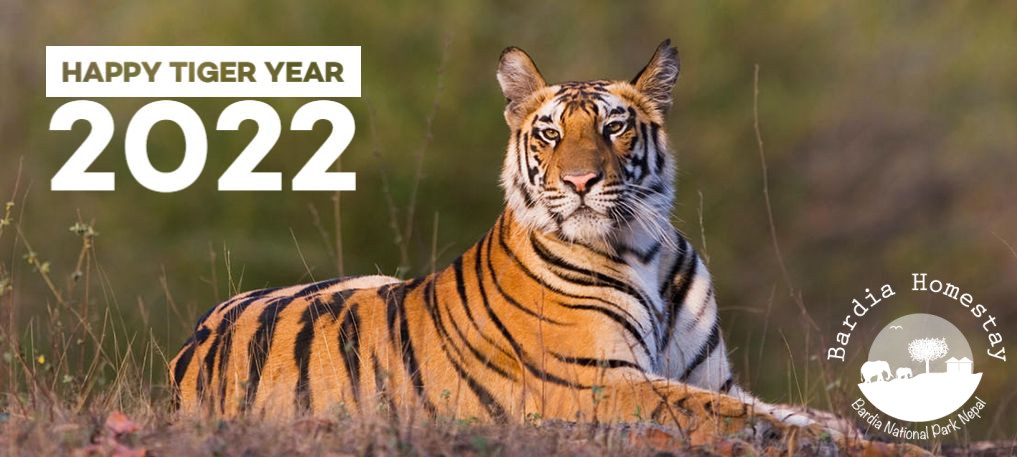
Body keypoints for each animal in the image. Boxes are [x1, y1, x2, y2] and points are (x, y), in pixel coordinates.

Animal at [168, 40, 926, 454]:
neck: (643, 249)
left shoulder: (712, 375)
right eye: (550, 133)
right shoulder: (601, 382)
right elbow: (739, 417)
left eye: (615, 127)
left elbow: (786, 408)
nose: (581, 181)